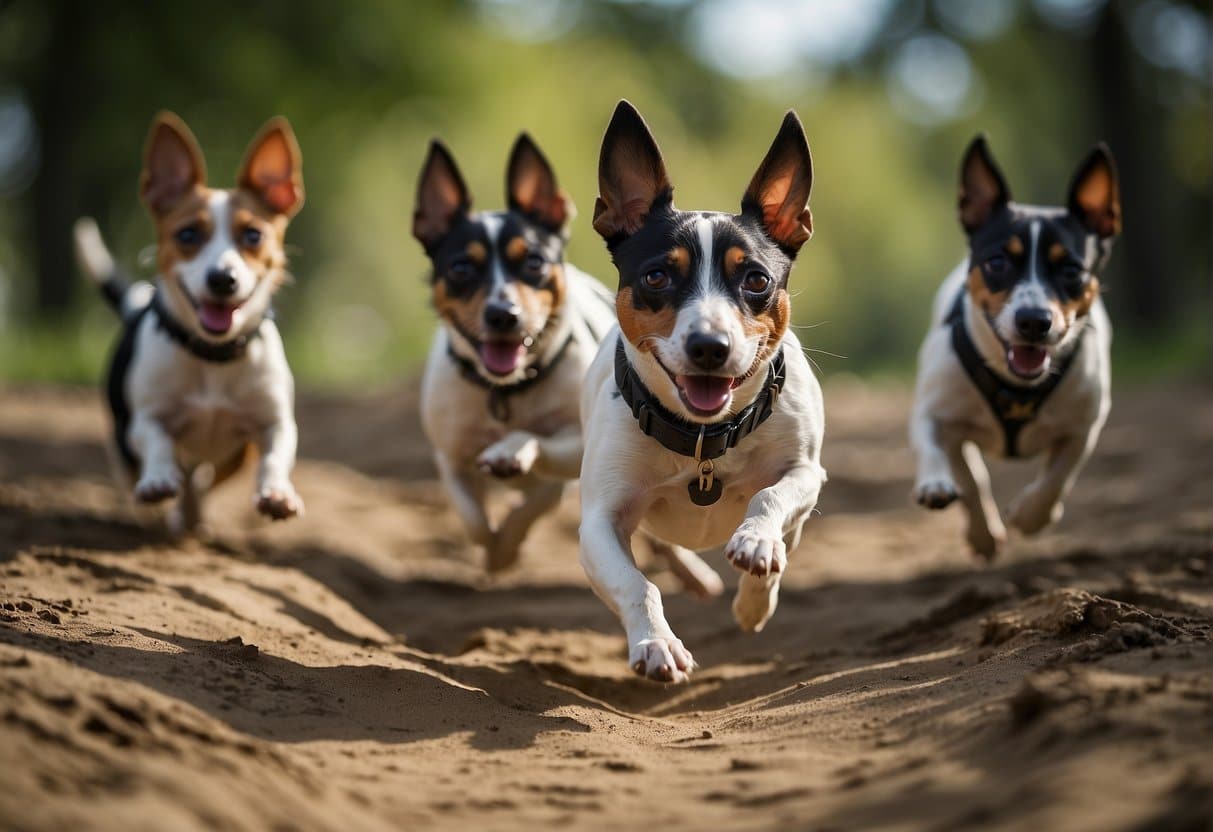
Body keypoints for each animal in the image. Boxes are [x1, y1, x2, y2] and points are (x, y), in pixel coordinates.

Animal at [72, 112, 305, 533]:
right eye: (187, 234)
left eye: (253, 235)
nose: (222, 279)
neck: (213, 356)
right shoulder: (145, 420)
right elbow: (158, 441)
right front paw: (159, 479)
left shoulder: (273, 424)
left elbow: (275, 455)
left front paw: (277, 493)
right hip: (122, 446)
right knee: (147, 472)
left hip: (234, 456)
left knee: (202, 480)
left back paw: (192, 514)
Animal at [412, 135, 616, 572]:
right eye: (460, 268)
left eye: (534, 262)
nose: (503, 314)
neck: (506, 390)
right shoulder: (450, 459)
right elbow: (472, 518)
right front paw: (494, 552)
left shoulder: (574, 452)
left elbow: (535, 494)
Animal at [574, 101, 824, 679]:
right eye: (657, 277)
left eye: (756, 280)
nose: (710, 345)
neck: (705, 437)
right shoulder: (599, 521)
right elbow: (636, 584)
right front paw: (656, 643)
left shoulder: (806, 472)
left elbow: (770, 499)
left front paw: (756, 559)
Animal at [912, 137, 1115, 560]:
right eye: (997, 262)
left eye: (1071, 270)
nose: (1034, 321)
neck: (1016, 385)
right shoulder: (936, 413)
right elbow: (957, 469)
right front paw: (976, 527)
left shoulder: (1084, 426)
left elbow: (1059, 476)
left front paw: (1031, 515)